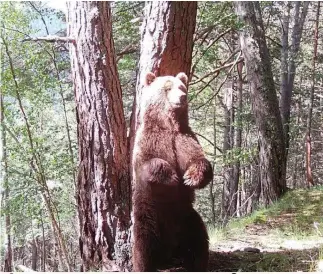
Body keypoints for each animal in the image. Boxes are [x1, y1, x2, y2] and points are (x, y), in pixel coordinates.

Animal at [133, 72, 214, 272]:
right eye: (167, 87)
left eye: (182, 87)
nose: (182, 97)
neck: (169, 126)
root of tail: (169, 252)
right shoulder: (150, 142)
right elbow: (149, 163)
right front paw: (172, 176)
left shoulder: (184, 139)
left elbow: (198, 159)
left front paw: (191, 178)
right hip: (149, 215)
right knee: (143, 244)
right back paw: (146, 265)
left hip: (187, 217)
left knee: (199, 238)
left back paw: (197, 263)